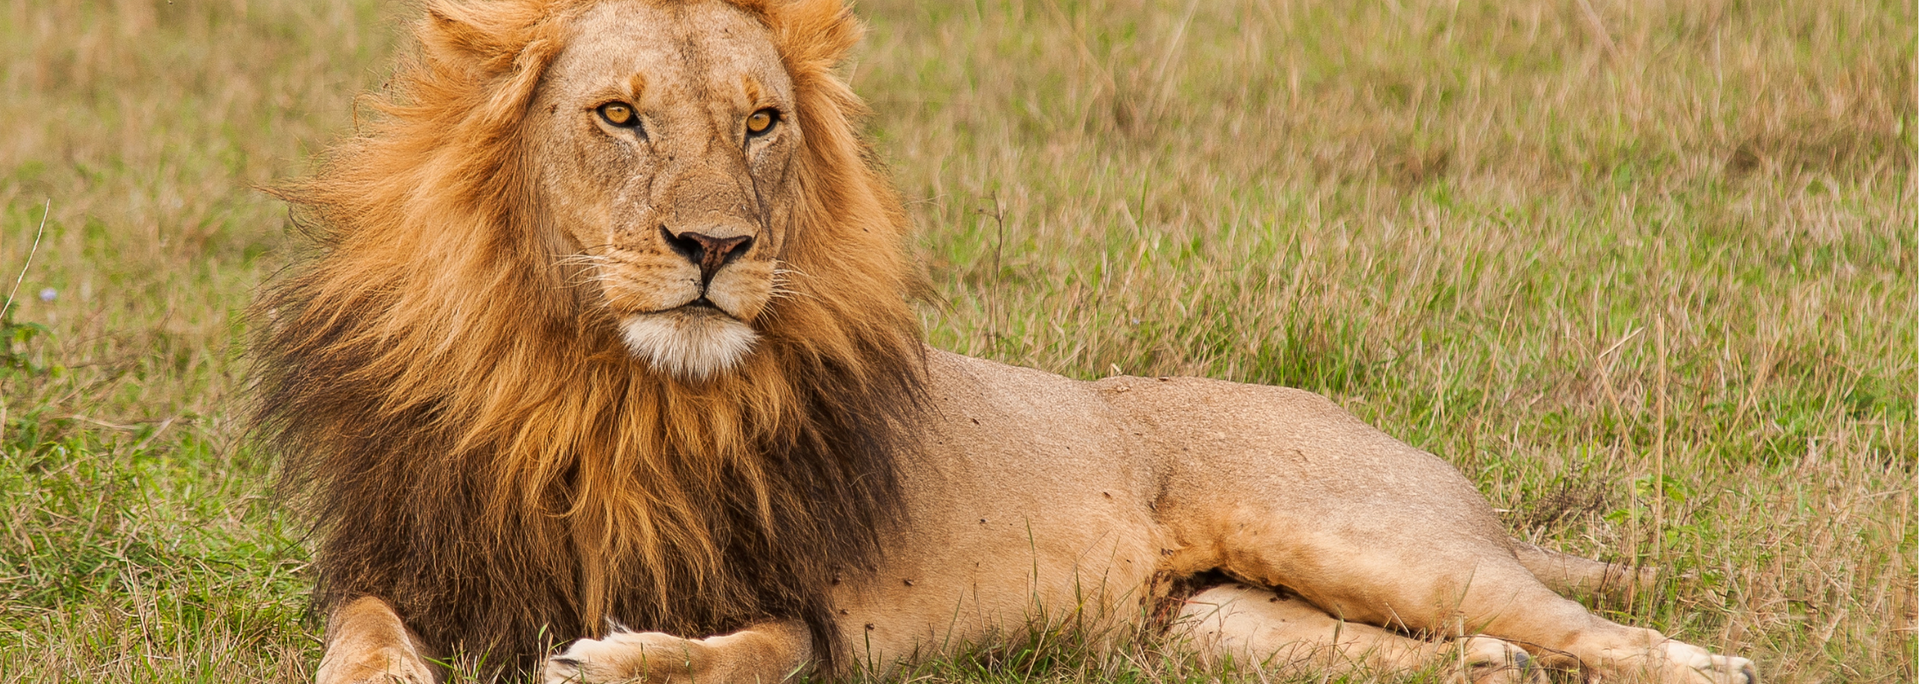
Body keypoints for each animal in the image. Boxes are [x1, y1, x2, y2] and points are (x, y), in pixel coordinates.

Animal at [253, 1, 1759, 682]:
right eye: (618, 116)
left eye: (761, 124)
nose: (715, 249)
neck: (600, 386)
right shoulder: (407, 555)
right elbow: (363, 625)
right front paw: (385, 676)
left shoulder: (811, 615)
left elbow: (730, 653)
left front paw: (612, 659)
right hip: (1220, 629)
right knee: (1478, 657)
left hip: (1362, 534)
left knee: (1581, 626)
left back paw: (1704, 668)